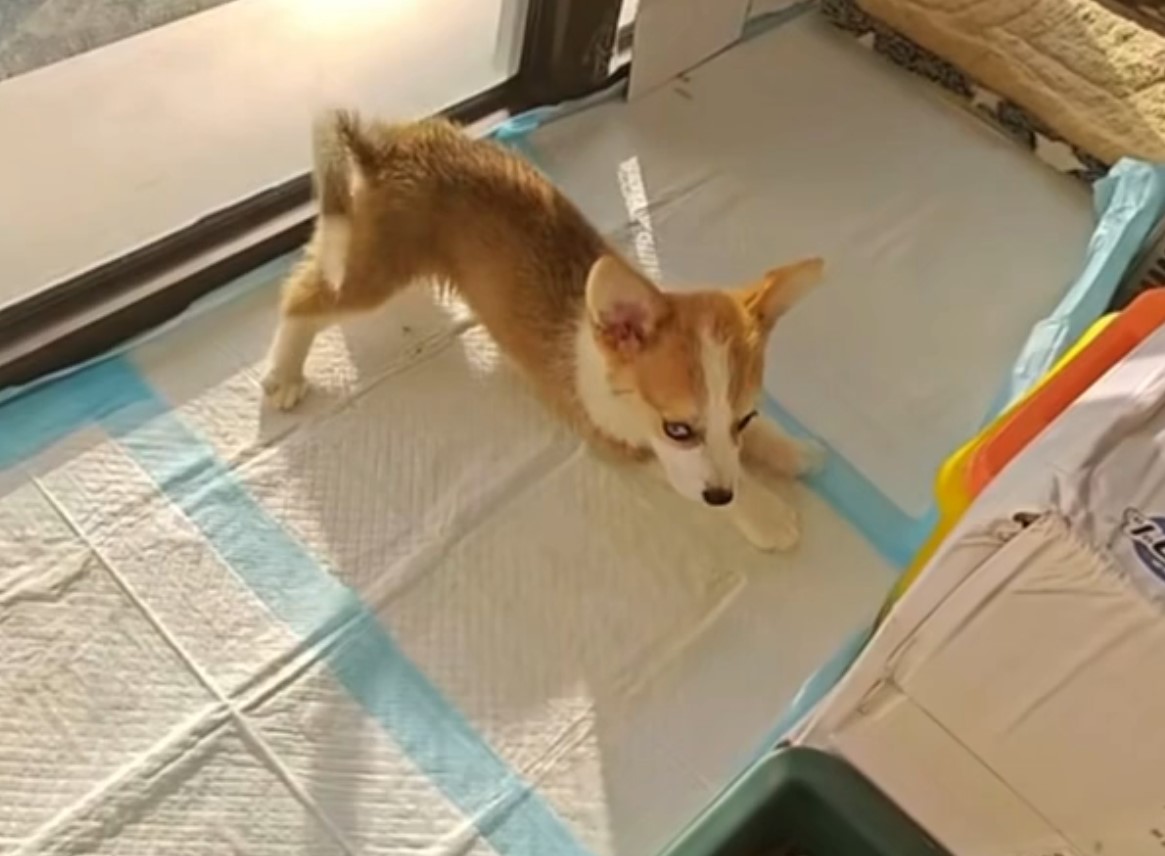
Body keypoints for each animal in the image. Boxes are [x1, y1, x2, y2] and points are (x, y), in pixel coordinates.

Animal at [264, 112, 824, 549]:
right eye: (678, 430)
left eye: (746, 418)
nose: (721, 494)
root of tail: (386, 145)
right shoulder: (618, 445)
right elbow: (690, 478)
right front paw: (765, 512)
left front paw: (789, 449)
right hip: (377, 270)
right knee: (303, 297)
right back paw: (284, 375)